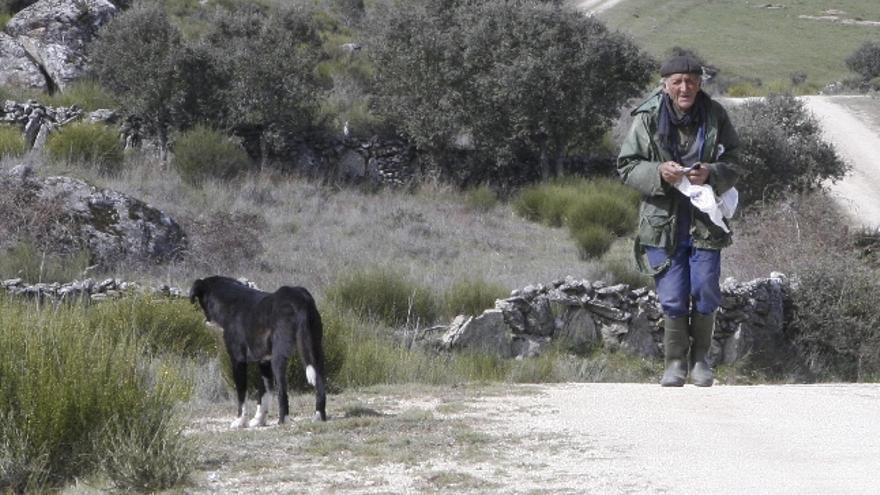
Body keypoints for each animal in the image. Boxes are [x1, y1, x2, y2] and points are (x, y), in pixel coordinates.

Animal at [189, 276, 326, 426]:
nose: (205, 321)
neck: (230, 303)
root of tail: (299, 298)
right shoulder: (264, 362)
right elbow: (264, 393)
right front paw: (258, 419)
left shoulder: (238, 360)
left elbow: (242, 394)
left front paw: (240, 420)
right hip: (316, 350)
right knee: (320, 384)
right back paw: (319, 416)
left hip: (278, 358)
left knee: (283, 391)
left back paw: (282, 420)